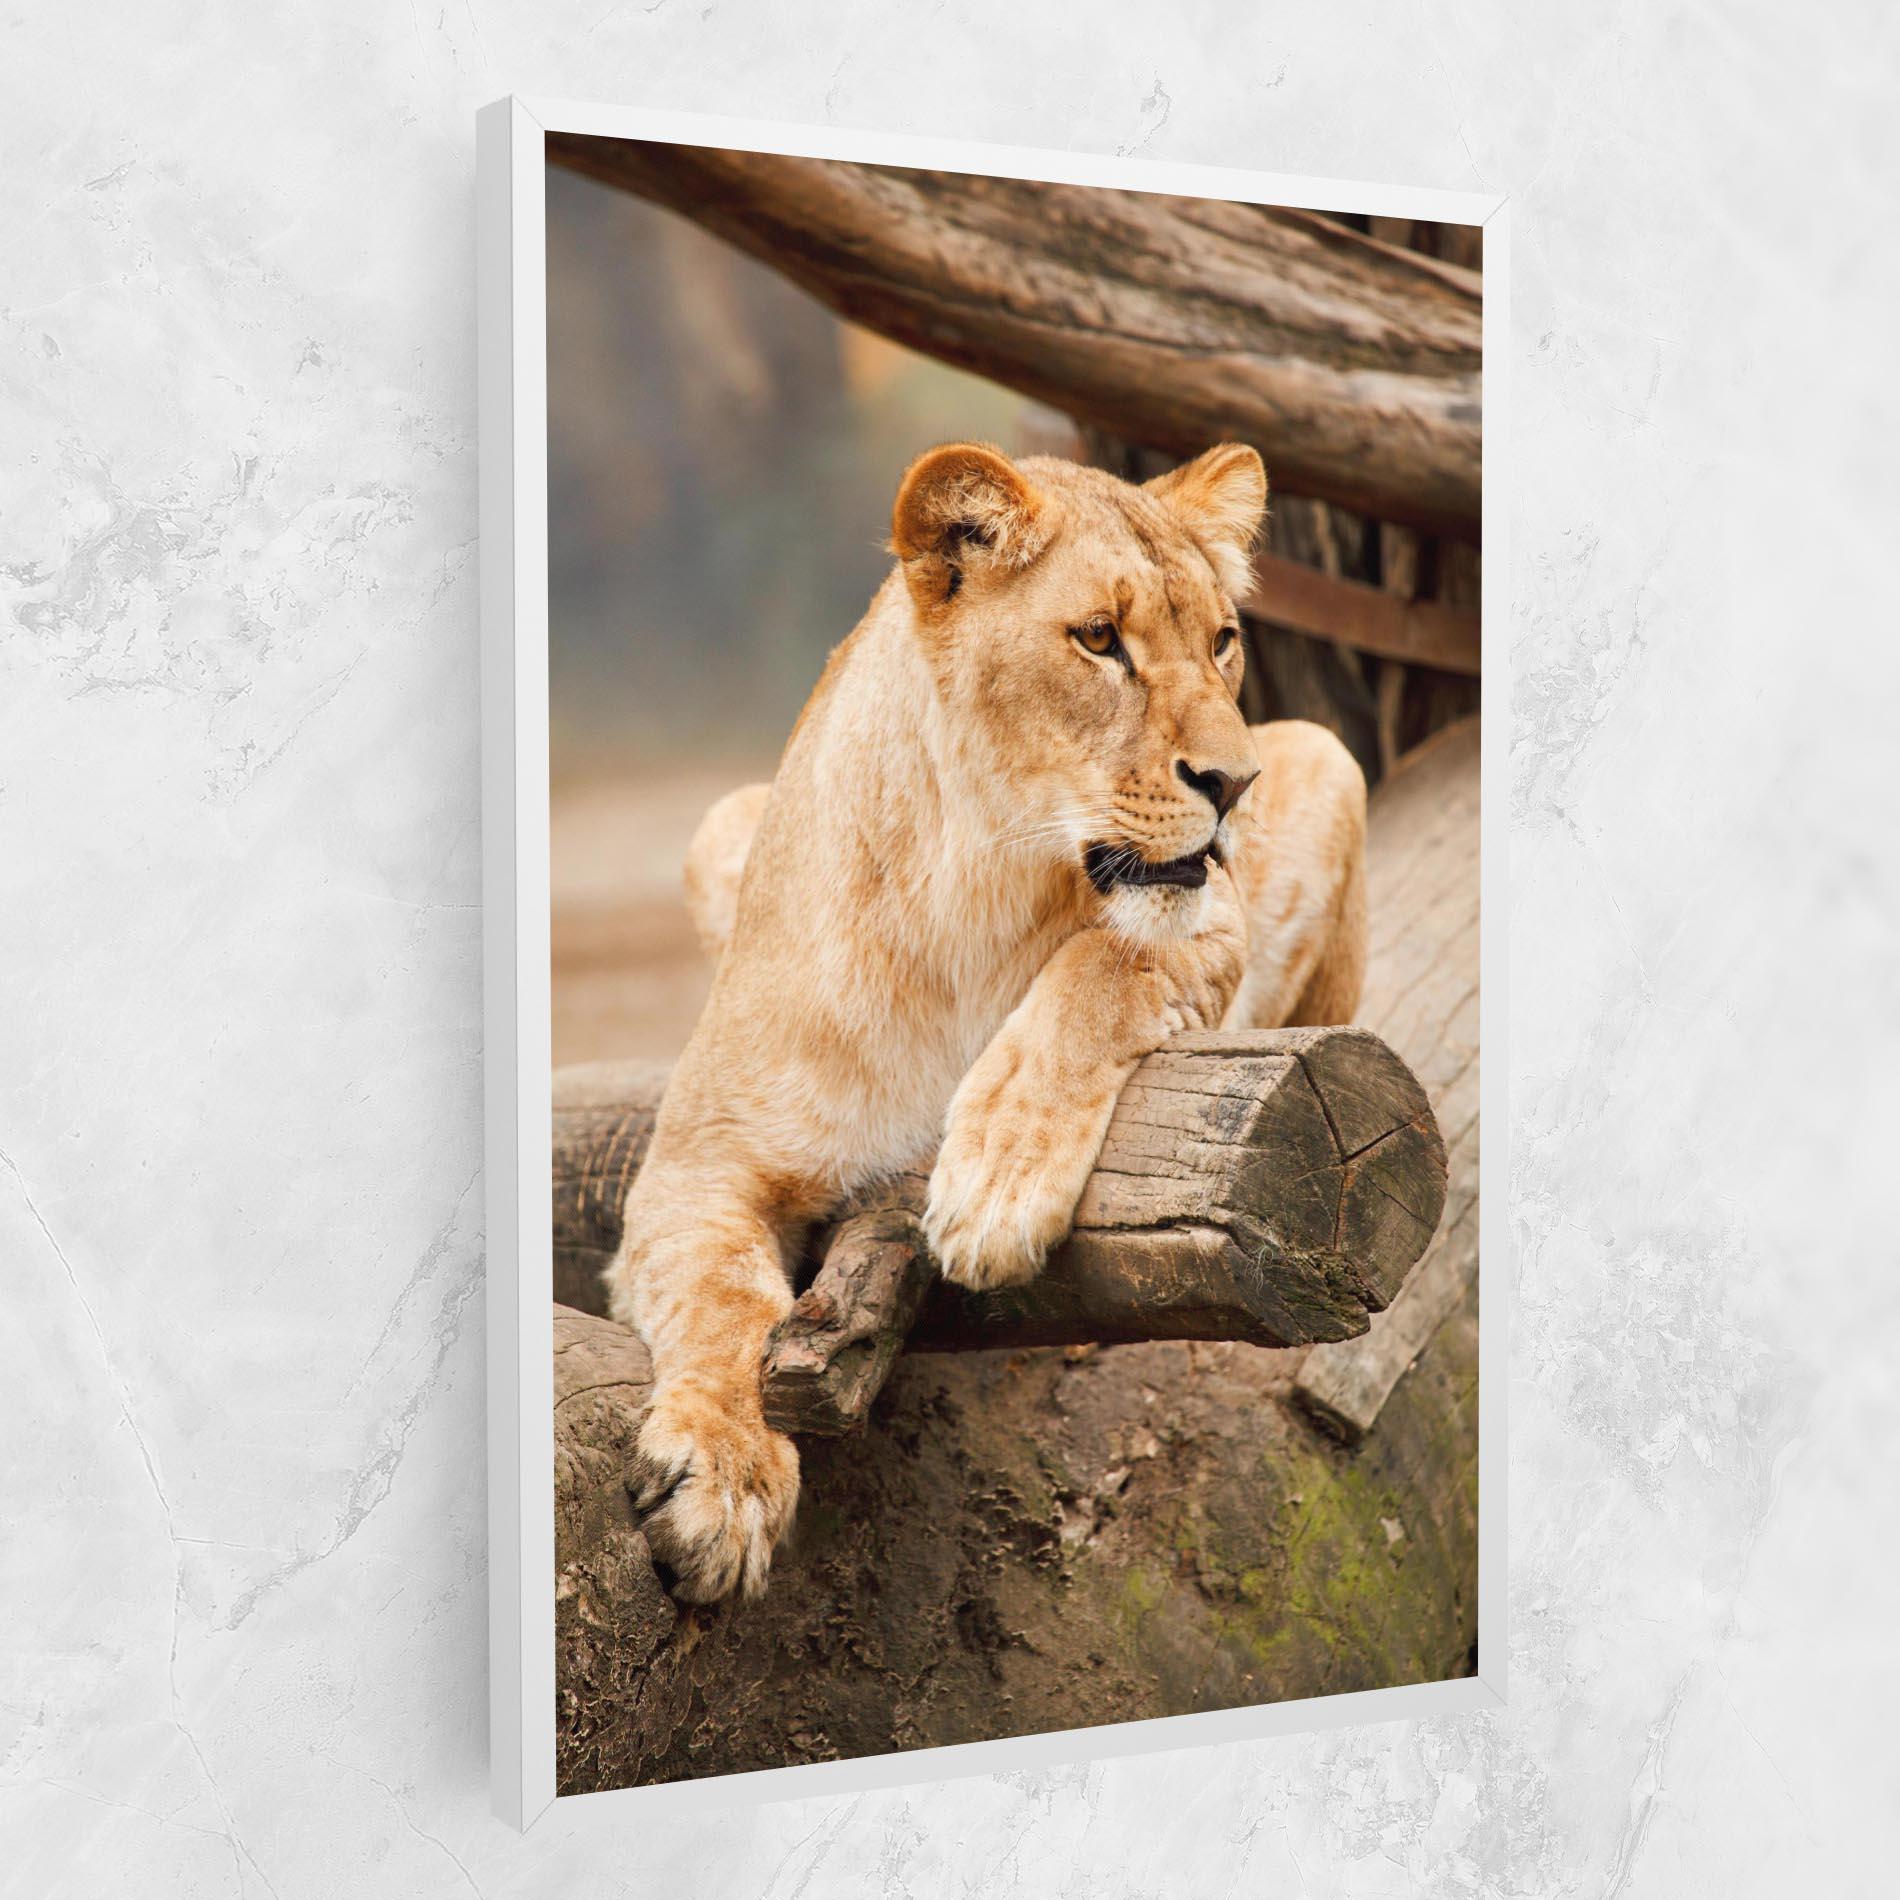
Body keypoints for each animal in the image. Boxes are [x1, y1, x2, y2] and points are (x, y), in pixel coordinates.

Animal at [604, 441, 1367, 1602]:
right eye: (1099, 638)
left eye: (1222, 641)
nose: (1236, 784)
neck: (970, 891)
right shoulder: (697, 1163)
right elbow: (720, 1298)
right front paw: (724, 1478)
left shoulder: (1207, 915)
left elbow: (1103, 961)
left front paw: (994, 1185)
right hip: (718, 824)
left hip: (1328, 754)